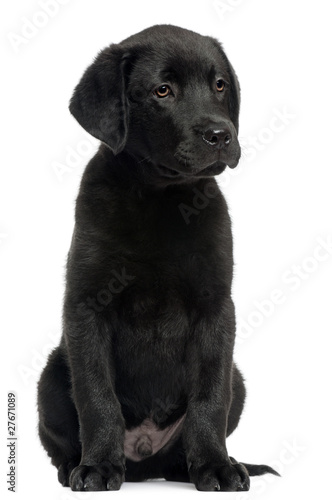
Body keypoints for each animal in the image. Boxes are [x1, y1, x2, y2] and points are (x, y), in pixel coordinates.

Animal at [37, 24, 278, 492]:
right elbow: (96, 395)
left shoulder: (216, 308)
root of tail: (143, 465)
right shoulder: (86, 307)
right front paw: (97, 467)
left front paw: (215, 466)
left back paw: (198, 464)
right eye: (162, 90)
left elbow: (210, 397)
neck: (161, 198)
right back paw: (75, 464)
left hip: (238, 381)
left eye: (219, 85)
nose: (221, 135)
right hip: (51, 377)